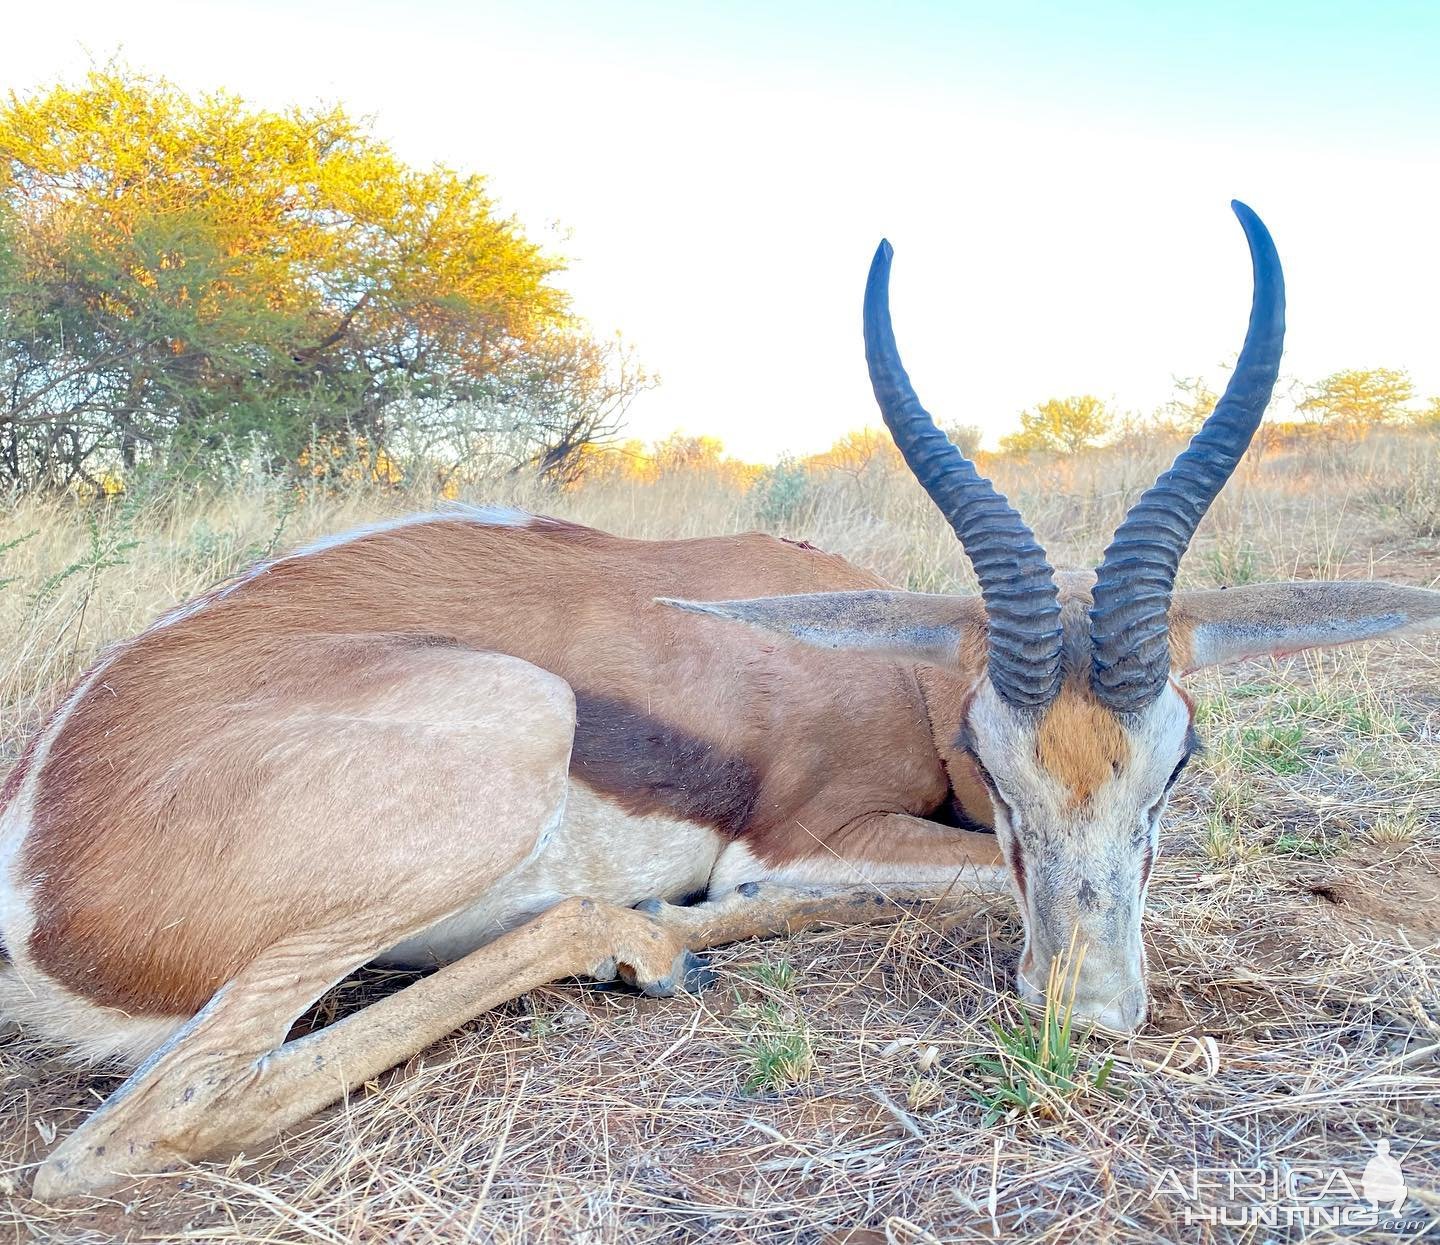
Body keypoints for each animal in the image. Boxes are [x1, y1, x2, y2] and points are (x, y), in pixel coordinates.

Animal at [2, 201, 1440, 1197]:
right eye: (996, 761)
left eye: (1176, 766)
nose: (1082, 1011)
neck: (893, 668)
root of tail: (35, 861)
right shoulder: (810, 833)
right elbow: (941, 878)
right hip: (512, 730)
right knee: (126, 1133)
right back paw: (644, 941)